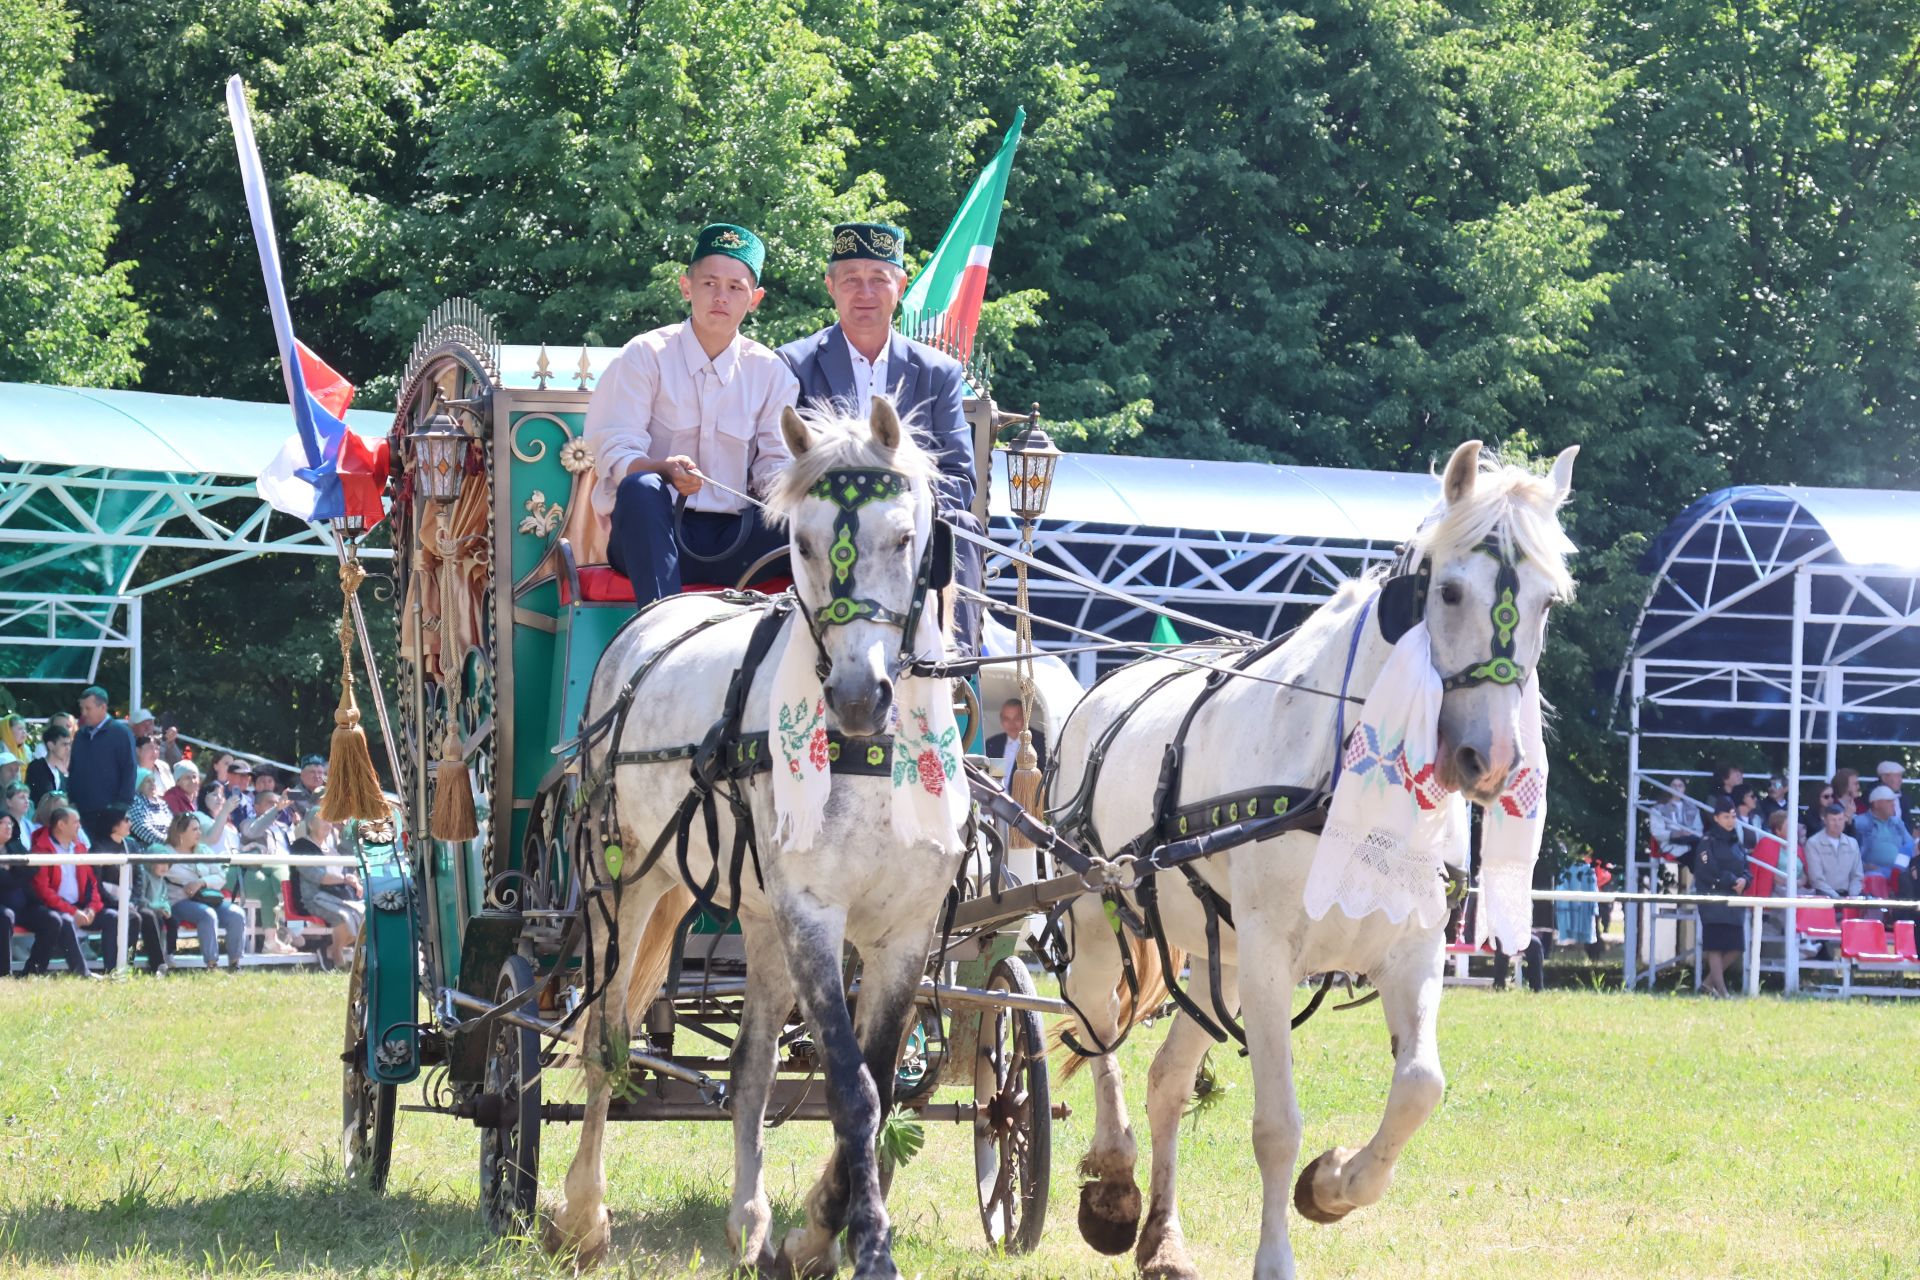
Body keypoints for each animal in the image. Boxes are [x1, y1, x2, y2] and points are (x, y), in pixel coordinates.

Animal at [545, 401, 967, 1280]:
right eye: (801, 542)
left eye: (906, 537)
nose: (856, 696)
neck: (873, 757)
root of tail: (649, 622)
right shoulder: (814, 914)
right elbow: (852, 1087)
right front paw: (865, 1245)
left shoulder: (904, 931)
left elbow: (877, 1083)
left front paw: (812, 1233)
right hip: (624, 883)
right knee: (607, 1037)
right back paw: (583, 1216)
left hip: (757, 915)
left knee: (751, 1065)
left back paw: (747, 1221)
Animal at [1052, 435, 1574, 1274]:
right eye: (1449, 592)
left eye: (1547, 601)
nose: (1489, 759)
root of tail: (1103, 684)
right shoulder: (1271, 956)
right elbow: (1276, 1125)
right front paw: (1277, 1252)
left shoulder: (1411, 946)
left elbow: (1420, 1085)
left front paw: (1333, 1184)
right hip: (1100, 916)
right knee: (1091, 1019)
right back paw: (1114, 1178)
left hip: (1215, 955)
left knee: (1167, 1079)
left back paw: (1164, 1237)